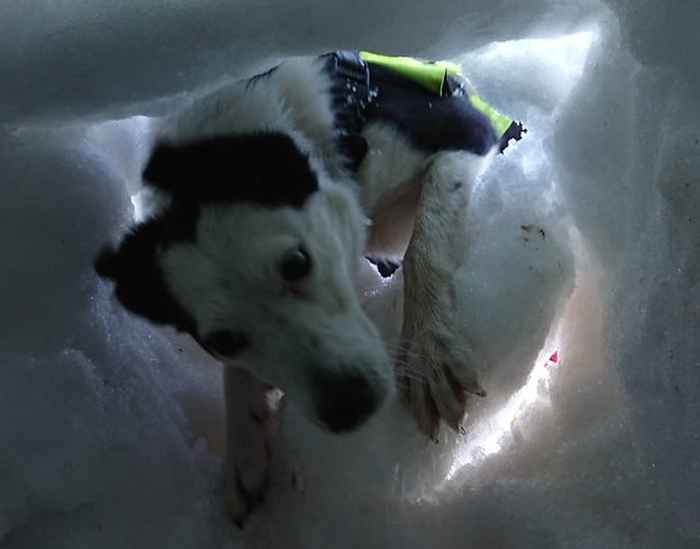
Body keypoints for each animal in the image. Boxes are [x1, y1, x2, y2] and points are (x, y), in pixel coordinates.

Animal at [94, 50, 520, 524]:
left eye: (297, 263)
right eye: (220, 341)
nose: (348, 406)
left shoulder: (463, 134)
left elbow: (423, 245)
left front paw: (427, 346)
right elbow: (236, 375)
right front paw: (243, 445)